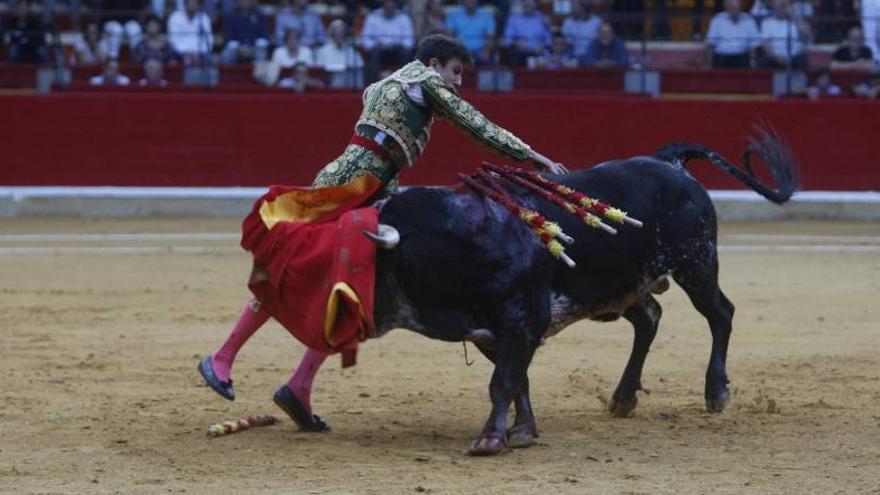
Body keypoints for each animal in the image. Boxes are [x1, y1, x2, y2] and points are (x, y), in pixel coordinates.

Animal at [360, 129, 796, 458]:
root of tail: (669, 164)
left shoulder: (521, 321)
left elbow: (504, 381)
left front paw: (490, 439)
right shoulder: (493, 332)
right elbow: (518, 380)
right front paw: (523, 431)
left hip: (697, 262)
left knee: (720, 313)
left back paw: (716, 392)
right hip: (623, 285)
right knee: (650, 317)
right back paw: (623, 398)